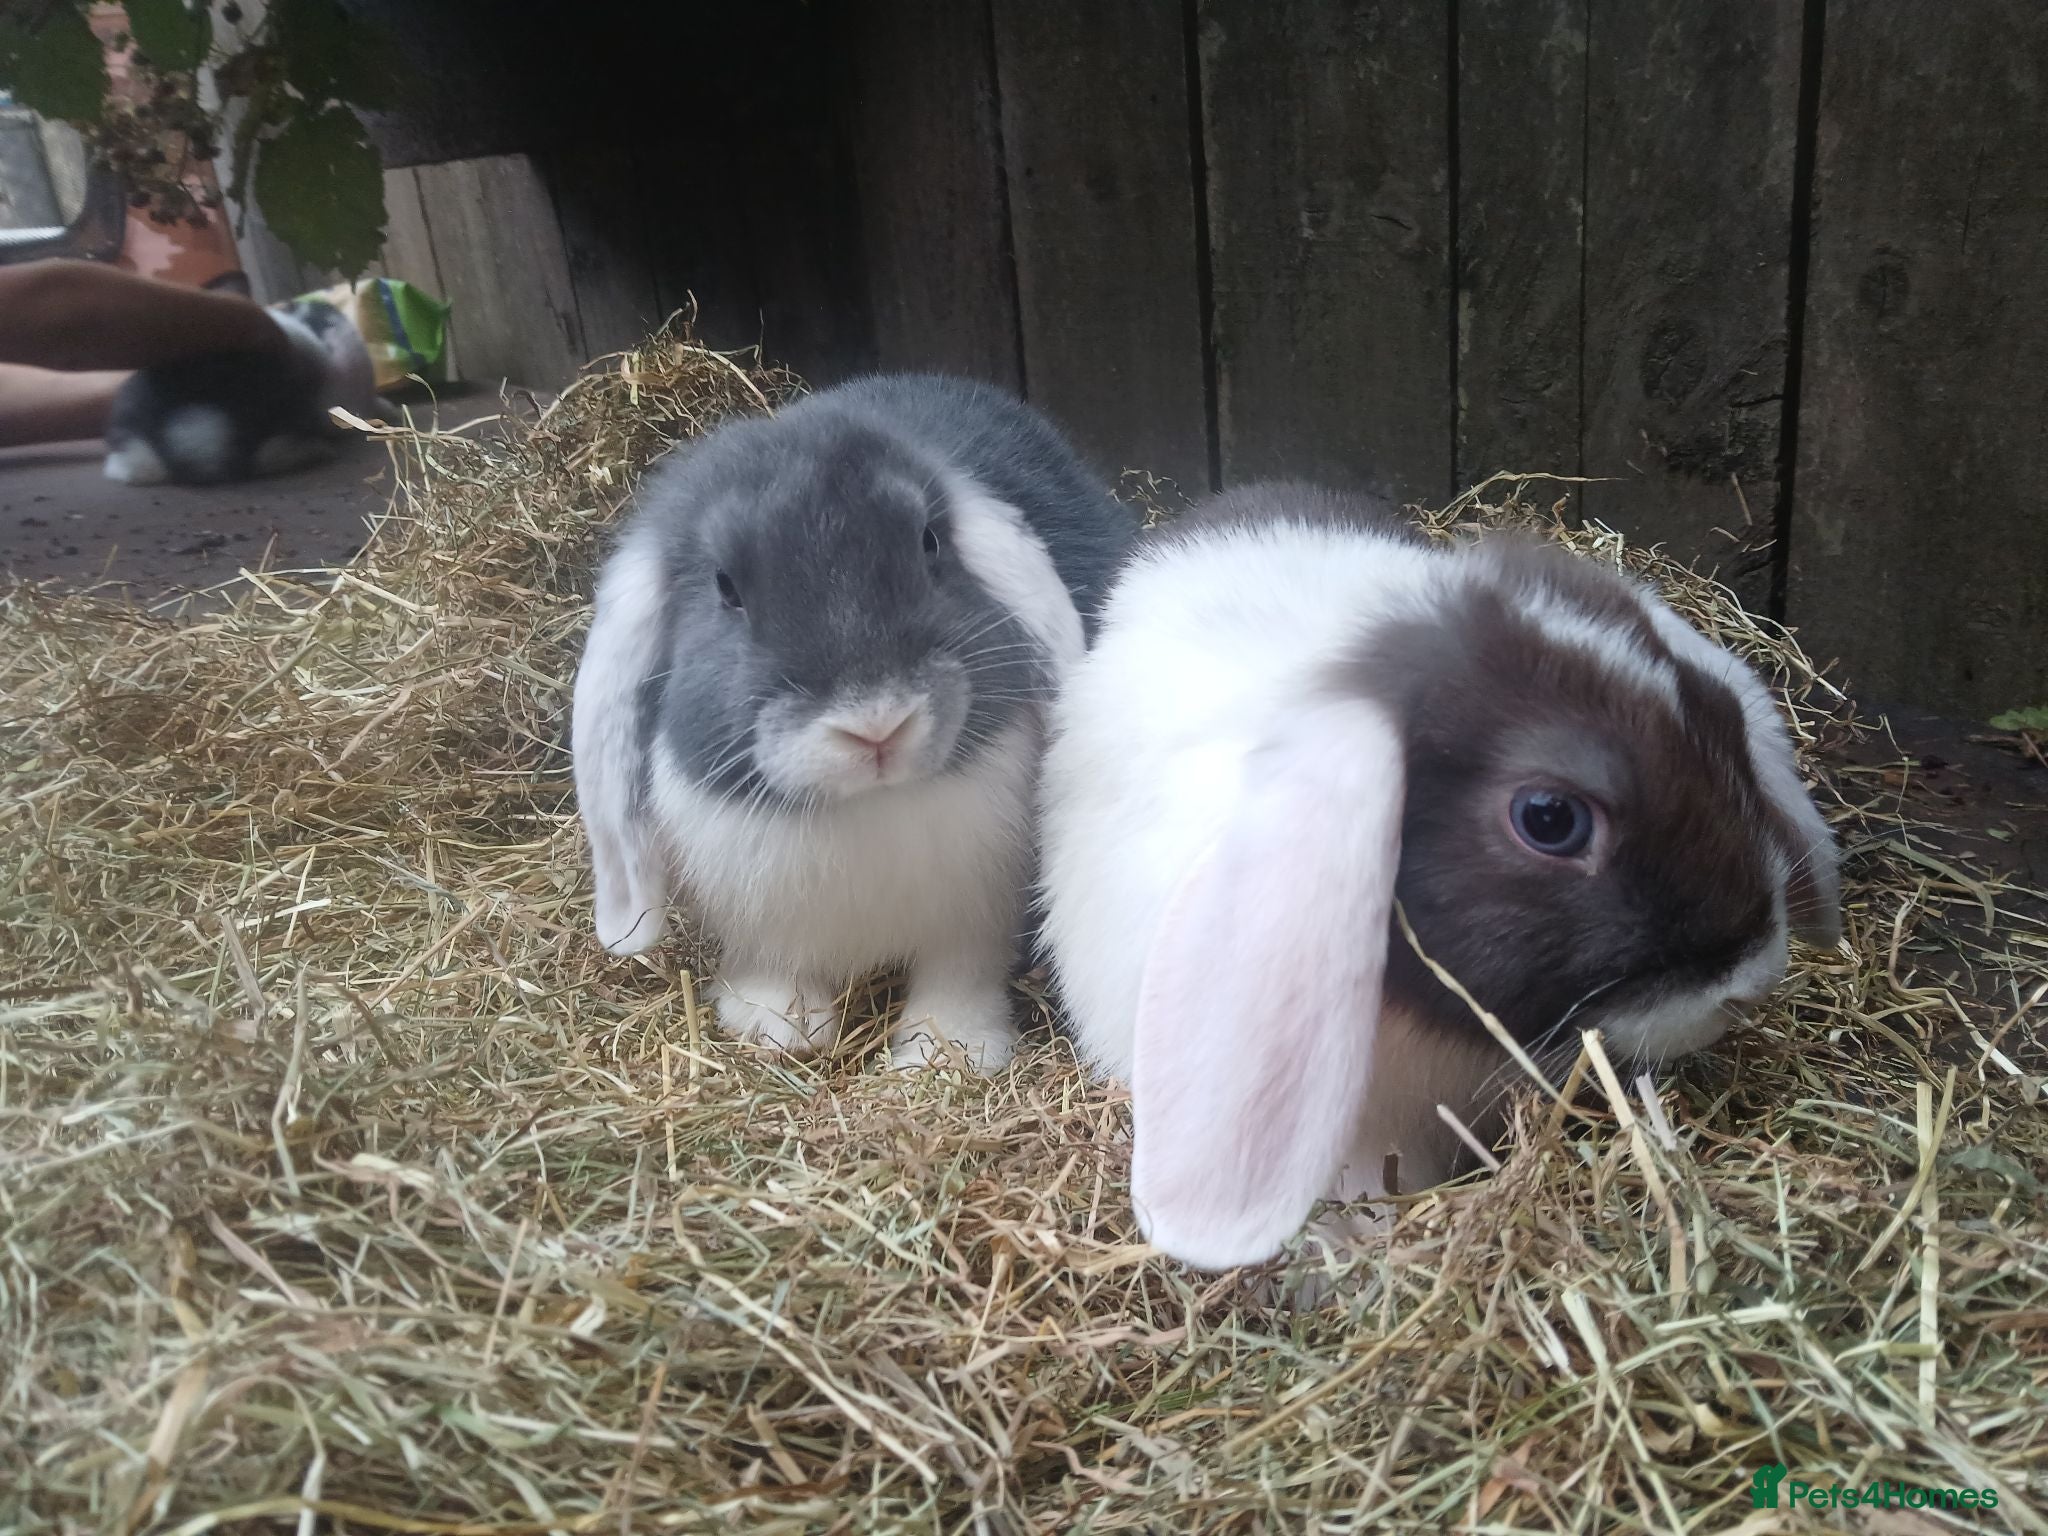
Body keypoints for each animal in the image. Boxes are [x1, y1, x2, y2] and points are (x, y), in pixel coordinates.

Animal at [572, 373, 1136, 1070]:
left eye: (929, 542)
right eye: (725, 586)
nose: (876, 726)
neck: (868, 805)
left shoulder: (973, 923)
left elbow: (957, 978)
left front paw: (946, 1052)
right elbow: (774, 970)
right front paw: (776, 1027)